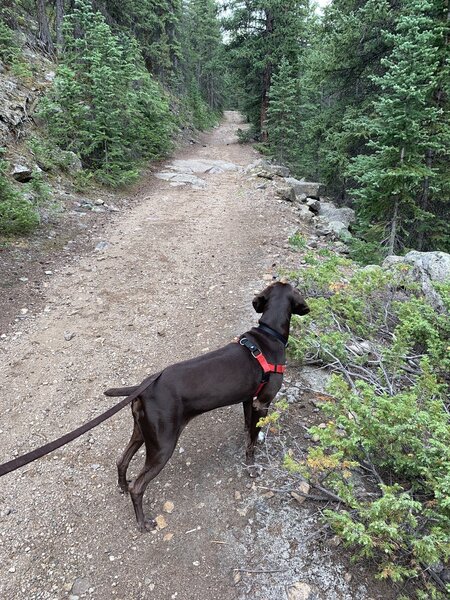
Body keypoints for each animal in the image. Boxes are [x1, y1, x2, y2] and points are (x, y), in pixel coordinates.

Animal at [105, 282, 310, 528]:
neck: (268, 336)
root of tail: (143, 387)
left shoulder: (248, 399)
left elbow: (247, 428)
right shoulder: (263, 401)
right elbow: (252, 443)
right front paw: (251, 466)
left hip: (142, 432)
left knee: (121, 460)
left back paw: (122, 486)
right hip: (162, 446)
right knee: (138, 486)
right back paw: (143, 523)